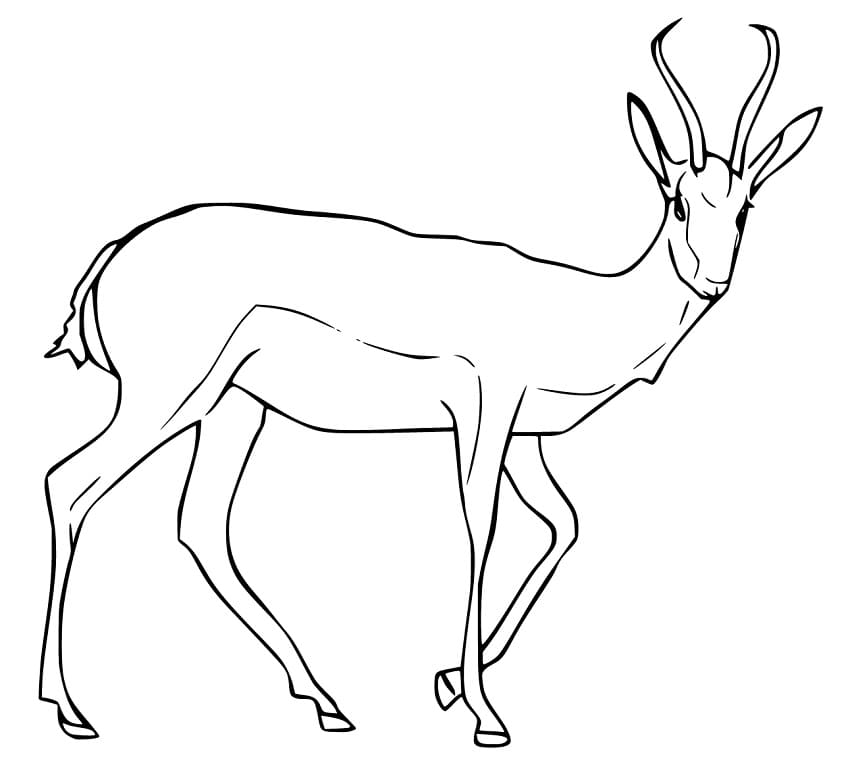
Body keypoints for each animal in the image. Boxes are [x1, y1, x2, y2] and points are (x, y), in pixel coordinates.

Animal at [39, 21, 821, 747]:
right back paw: (71, 710)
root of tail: (115, 252)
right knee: (68, 485)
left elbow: (564, 526)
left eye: (746, 206)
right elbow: (481, 528)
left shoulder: (525, 440)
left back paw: (326, 701)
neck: (577, 310)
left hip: (233, 411)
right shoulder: (486, 411)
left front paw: (449, 683)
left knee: (200, 525)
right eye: (680, 202)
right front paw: (484, 715)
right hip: (167, 400)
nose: (713, 279)